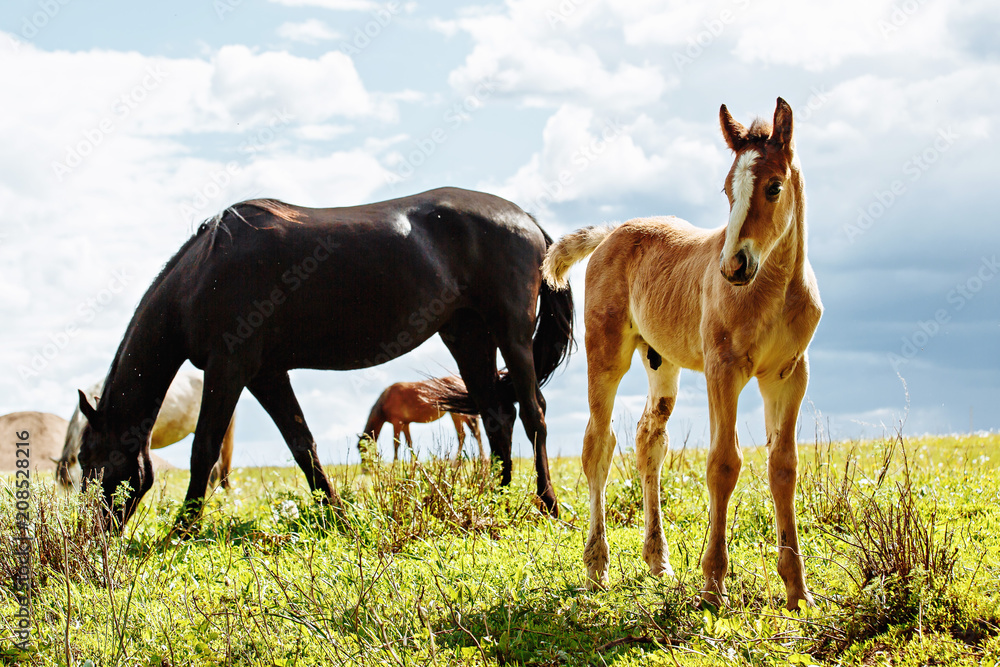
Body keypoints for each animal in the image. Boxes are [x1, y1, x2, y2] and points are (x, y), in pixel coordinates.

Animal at [76, 187, 573, 529]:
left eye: (86, 459)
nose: (90, 535)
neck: (203, 274)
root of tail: (528, 221)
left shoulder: (230, 367)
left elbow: (206, 449)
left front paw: (182, 527)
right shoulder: (266, 374)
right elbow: (303, 445)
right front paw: (337, 512)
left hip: (510, 333)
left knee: (533, 414)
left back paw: (546, 505)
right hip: (468, 336)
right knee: (496, 417)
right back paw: (497, 500)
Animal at [542, 98, 822, 611]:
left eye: (774, 187)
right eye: (728, 189)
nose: (733, 265)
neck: (774, 290)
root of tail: (611, 233)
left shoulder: (790, 374)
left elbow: (784, 467)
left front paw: (798, 591)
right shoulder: (722, 370)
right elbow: (723, 464)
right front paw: (713, 585)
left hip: (661, 361)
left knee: (649, 441)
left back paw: (658, 561)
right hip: (606, 355)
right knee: (598, 446)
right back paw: (597, 567)